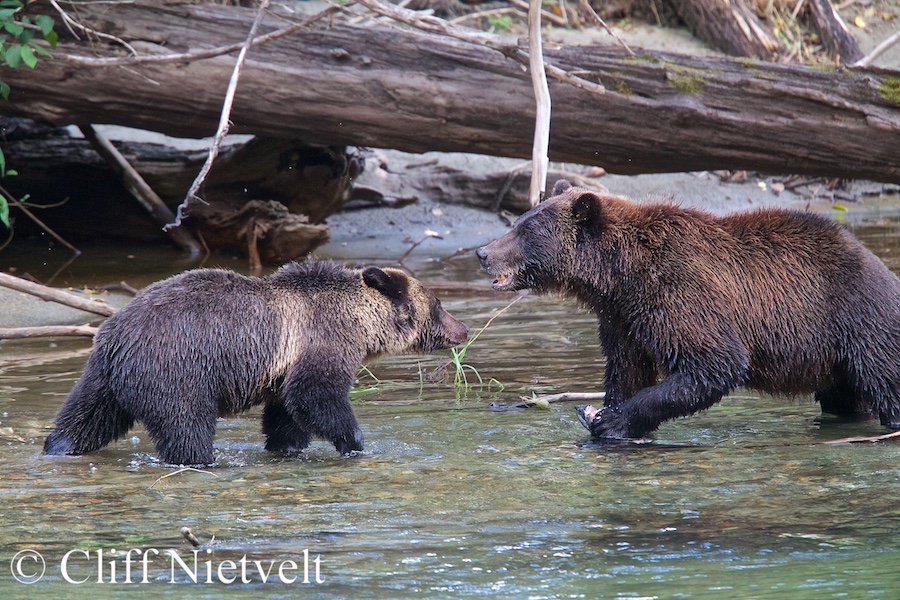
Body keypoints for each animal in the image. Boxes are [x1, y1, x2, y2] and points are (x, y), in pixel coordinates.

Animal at [44, 260, 469, 464]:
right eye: (438, 304)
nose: (462, 328)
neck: (360, 323)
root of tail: (115, 334)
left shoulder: (285, 367)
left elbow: (287, 414)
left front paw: (288, 446)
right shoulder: (321, 340)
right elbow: (317, 395)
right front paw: (354, 441)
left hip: (103, 377)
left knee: (85, 418)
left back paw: (58, 447)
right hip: (176, 369)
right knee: (186, 427)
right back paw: (200, 460)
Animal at [476, 180, 900, 440]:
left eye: (526, 231)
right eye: (517, 221)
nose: (482, 252)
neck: (618, 276)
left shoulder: (678, 293)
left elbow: (713, 362)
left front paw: (614, 420)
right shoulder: (623, 319)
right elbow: (627, 368)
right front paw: (609, 420)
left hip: (859, 323)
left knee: (888, 384)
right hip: (836, 359)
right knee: (847, 398)